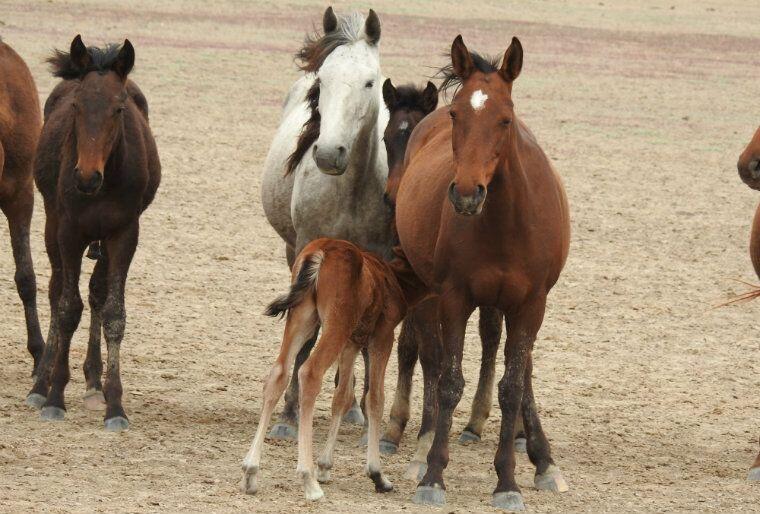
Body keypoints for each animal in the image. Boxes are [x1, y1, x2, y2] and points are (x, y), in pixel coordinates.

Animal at [26, 34, 160, 430]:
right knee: (57, 290)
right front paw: (54, 396)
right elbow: (68, 307)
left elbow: (113, 312)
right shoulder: (69, 231)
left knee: (97, 291)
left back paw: (93, 382)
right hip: (52, 224)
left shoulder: (124, 234)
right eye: (76, 106)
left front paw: (115, 405)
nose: (86, 177)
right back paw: (41, 384)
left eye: (119, 109)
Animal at [242, 238, 422, 498]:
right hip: (335, 324)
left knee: (278, 374)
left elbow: (342, 396)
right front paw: (378, 475)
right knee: (310, 373)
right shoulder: (382, 336)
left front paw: (325, 467)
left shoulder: (352, 343)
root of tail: (320, 252)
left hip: (303, 318)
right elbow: (375, 398)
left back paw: (250, 472)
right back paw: (308, 480)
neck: (393, 277)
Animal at [378, 77, 524, 460]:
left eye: (411, 135)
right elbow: (412, 345)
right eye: (384, 138)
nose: (394, 197)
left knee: (493, 338)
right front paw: (398, 425)